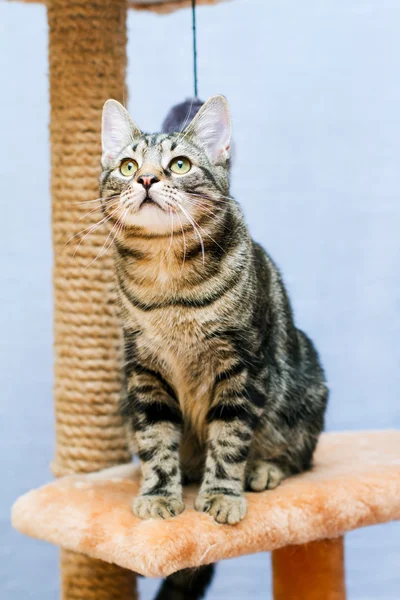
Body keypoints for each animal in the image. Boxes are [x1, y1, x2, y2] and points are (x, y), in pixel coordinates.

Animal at [98, 96, 326, 600]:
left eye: (179, 164)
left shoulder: (241, 368)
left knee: (298, 455)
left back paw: (265, 470)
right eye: (127, 166)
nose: (146, 179)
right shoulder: (144, 372)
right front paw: (158, 493)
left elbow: (230, 439)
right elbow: (156, 439)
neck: (167, 280)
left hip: (305, 388)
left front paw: (222, 494)